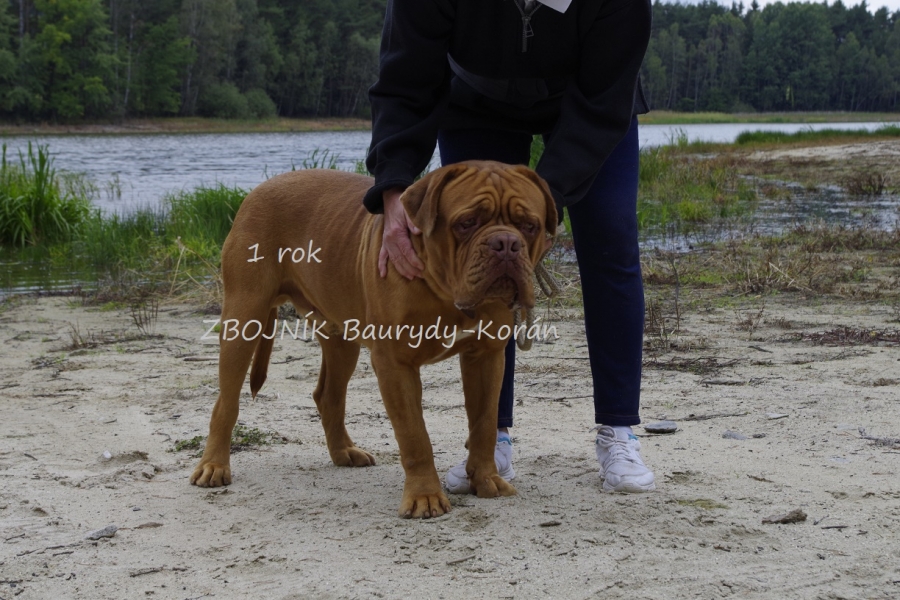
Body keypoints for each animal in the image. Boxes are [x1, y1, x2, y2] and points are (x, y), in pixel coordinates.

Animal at [190, 161, 557, 518]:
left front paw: (485, 479)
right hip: (244, 317)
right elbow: (414, 435)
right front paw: (424, 496)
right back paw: (213, 465)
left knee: (329, 396)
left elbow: (484, 424)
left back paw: (344, 452)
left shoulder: (487, 356)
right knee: (226, 401)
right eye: (466, 223)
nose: (506, 244)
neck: (443, 289)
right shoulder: (395, 364)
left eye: (530, 226)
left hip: (341, 338)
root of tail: (257, 191)